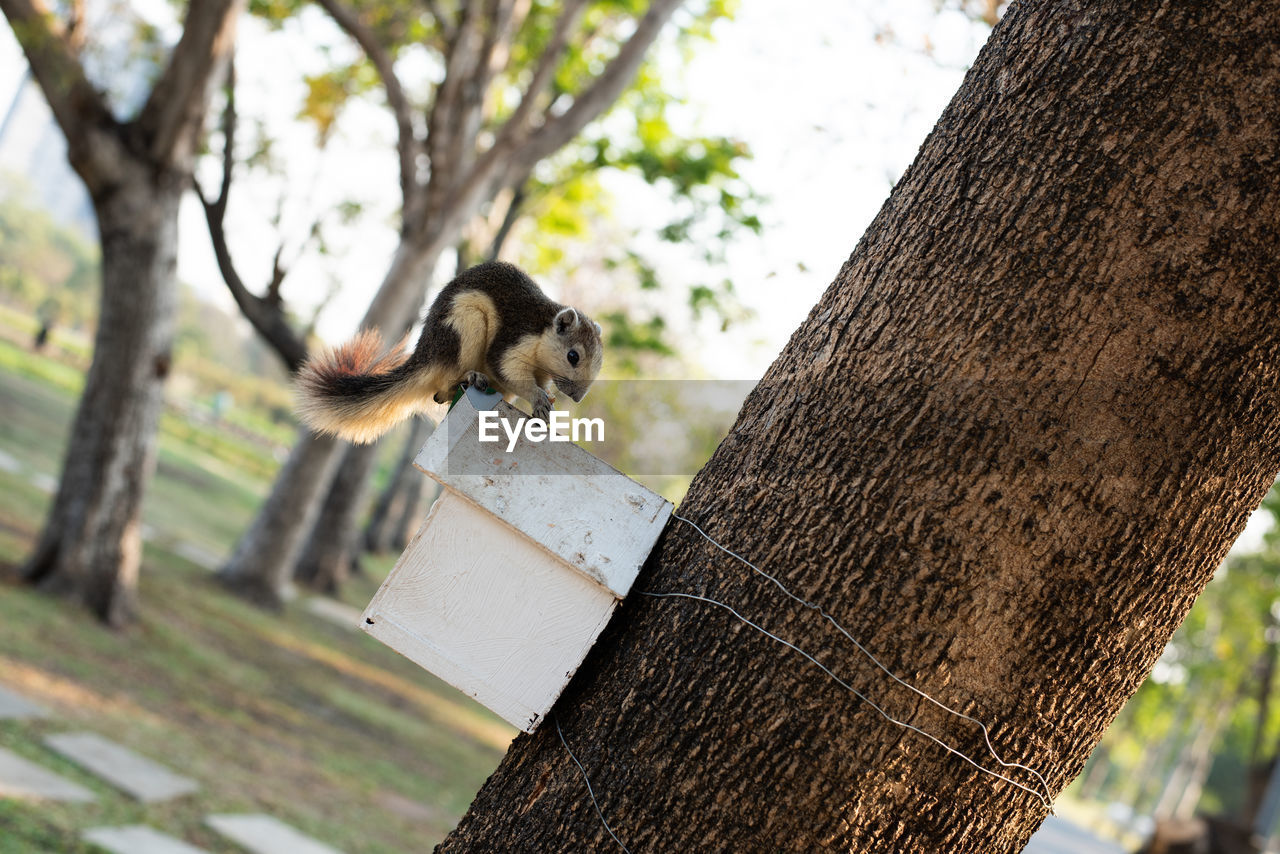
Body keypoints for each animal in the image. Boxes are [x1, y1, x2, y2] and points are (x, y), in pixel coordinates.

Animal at [296, 262, 601, 448]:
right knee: (444, 387)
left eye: (599, 364)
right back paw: (470, 377)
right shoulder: (514, 341)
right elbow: (510, 371)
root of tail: (426, 355)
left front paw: (546, 405)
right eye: (573, 356)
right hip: (465, 326)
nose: (577, 398)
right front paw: (538, 398)